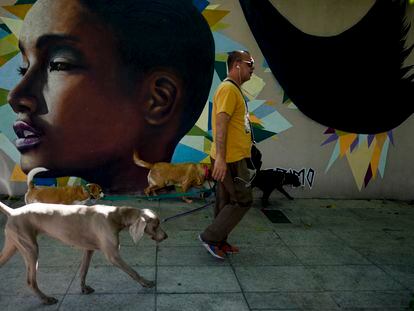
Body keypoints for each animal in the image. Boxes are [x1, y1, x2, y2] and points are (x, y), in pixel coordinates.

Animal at [0, 201, 168, 306]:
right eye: (156, 225)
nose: (166, 237)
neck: (116, 215)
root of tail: (13, 211)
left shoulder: (88, 249)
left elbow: (83, 271)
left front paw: (83, 288)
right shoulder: (113, 256)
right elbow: (133, 271)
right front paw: (146, 283)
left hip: (14, 245)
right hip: (31, 249)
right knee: (30, 280)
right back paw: (46, 299)